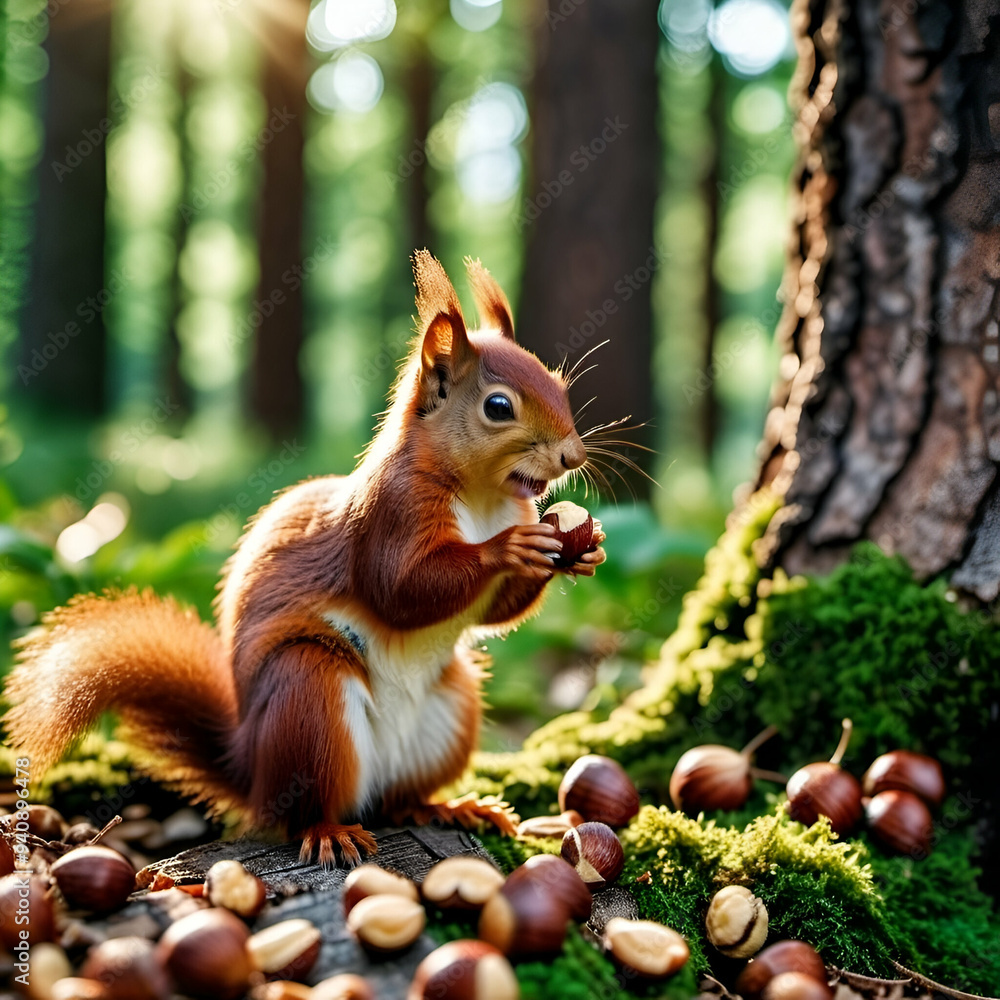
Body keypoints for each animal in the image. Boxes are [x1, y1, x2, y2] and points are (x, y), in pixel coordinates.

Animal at [3, 251, 607, 865]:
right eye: (499, 406)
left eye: (557, 383)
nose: (573, 455)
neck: (484, 497)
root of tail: (252, 772)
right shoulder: (391, 514)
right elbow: (402, 589)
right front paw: (507, 549)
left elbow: (495, 613)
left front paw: (579, 552)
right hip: (308, 696)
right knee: (306, 808)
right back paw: (330, 830)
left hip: (450, 708)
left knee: (398, 801)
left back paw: (452, 806)